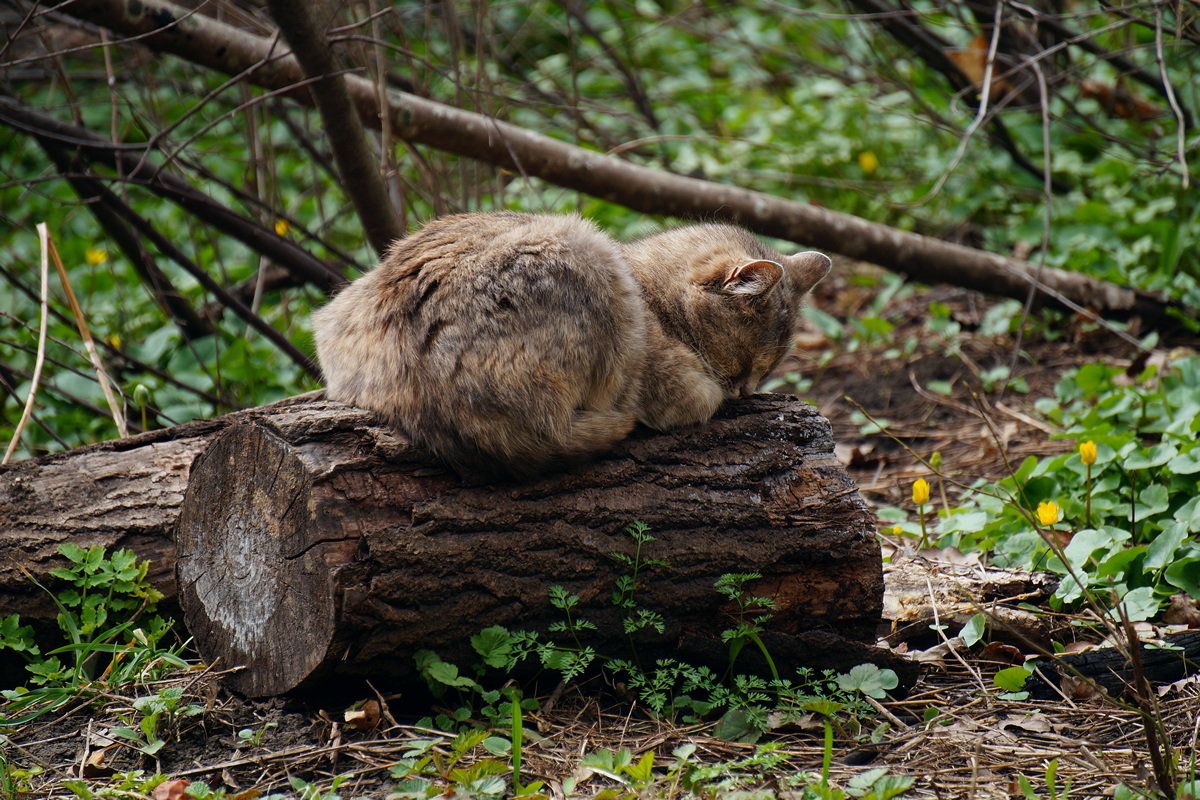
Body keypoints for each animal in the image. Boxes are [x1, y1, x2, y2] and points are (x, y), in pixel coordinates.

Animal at [314, 211, 830, 474]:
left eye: (768, 370)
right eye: (747, 364)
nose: (747, 390)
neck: (651, 291)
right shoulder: (677, 384)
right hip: (580, 244)